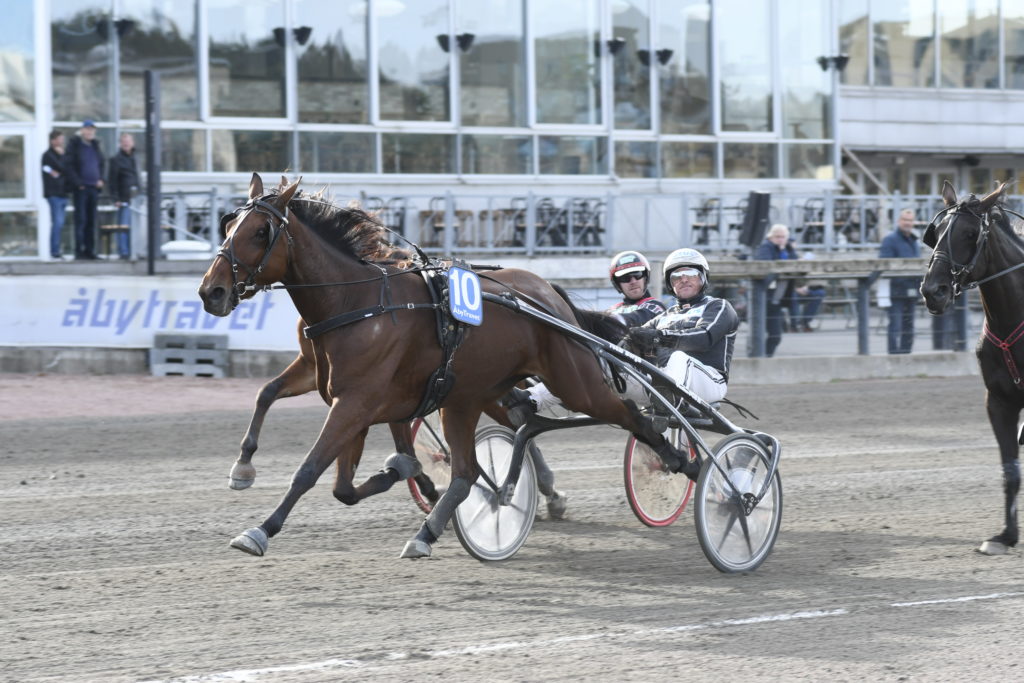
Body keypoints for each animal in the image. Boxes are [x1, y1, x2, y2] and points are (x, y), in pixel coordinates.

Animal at [228, 315, 567, 518]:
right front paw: (243, 465)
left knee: (521, 422)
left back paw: (543, 489)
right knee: (521, 422)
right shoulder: (316, 371)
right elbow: (267, 392)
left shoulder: (372, 395)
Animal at [920, 179, 1024, 555]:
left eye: (969, 233)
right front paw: (1005, 536)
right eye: (936, 234)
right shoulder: (998, 401)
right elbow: (1010, 471)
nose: (932, 291)